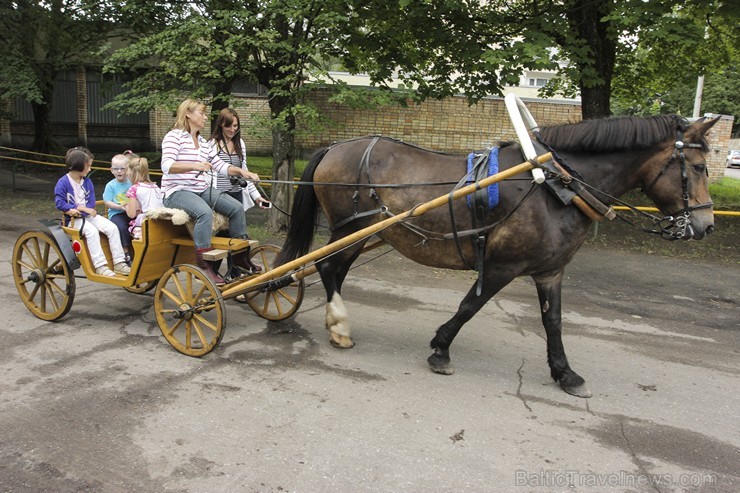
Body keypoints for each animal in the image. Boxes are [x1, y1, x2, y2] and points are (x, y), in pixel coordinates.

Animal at [274, 114, 716, 396]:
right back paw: (339, 326)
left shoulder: (551, 271)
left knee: (333, 271)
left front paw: (565, 373)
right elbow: (470, 305)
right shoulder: (504, 265)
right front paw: (441, 349)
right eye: (697, 166)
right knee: (327, 266)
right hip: (350, 229)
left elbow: (553, 321)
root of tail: (334, 147)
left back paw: (333, 322)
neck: (556, 186)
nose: (705, 225)